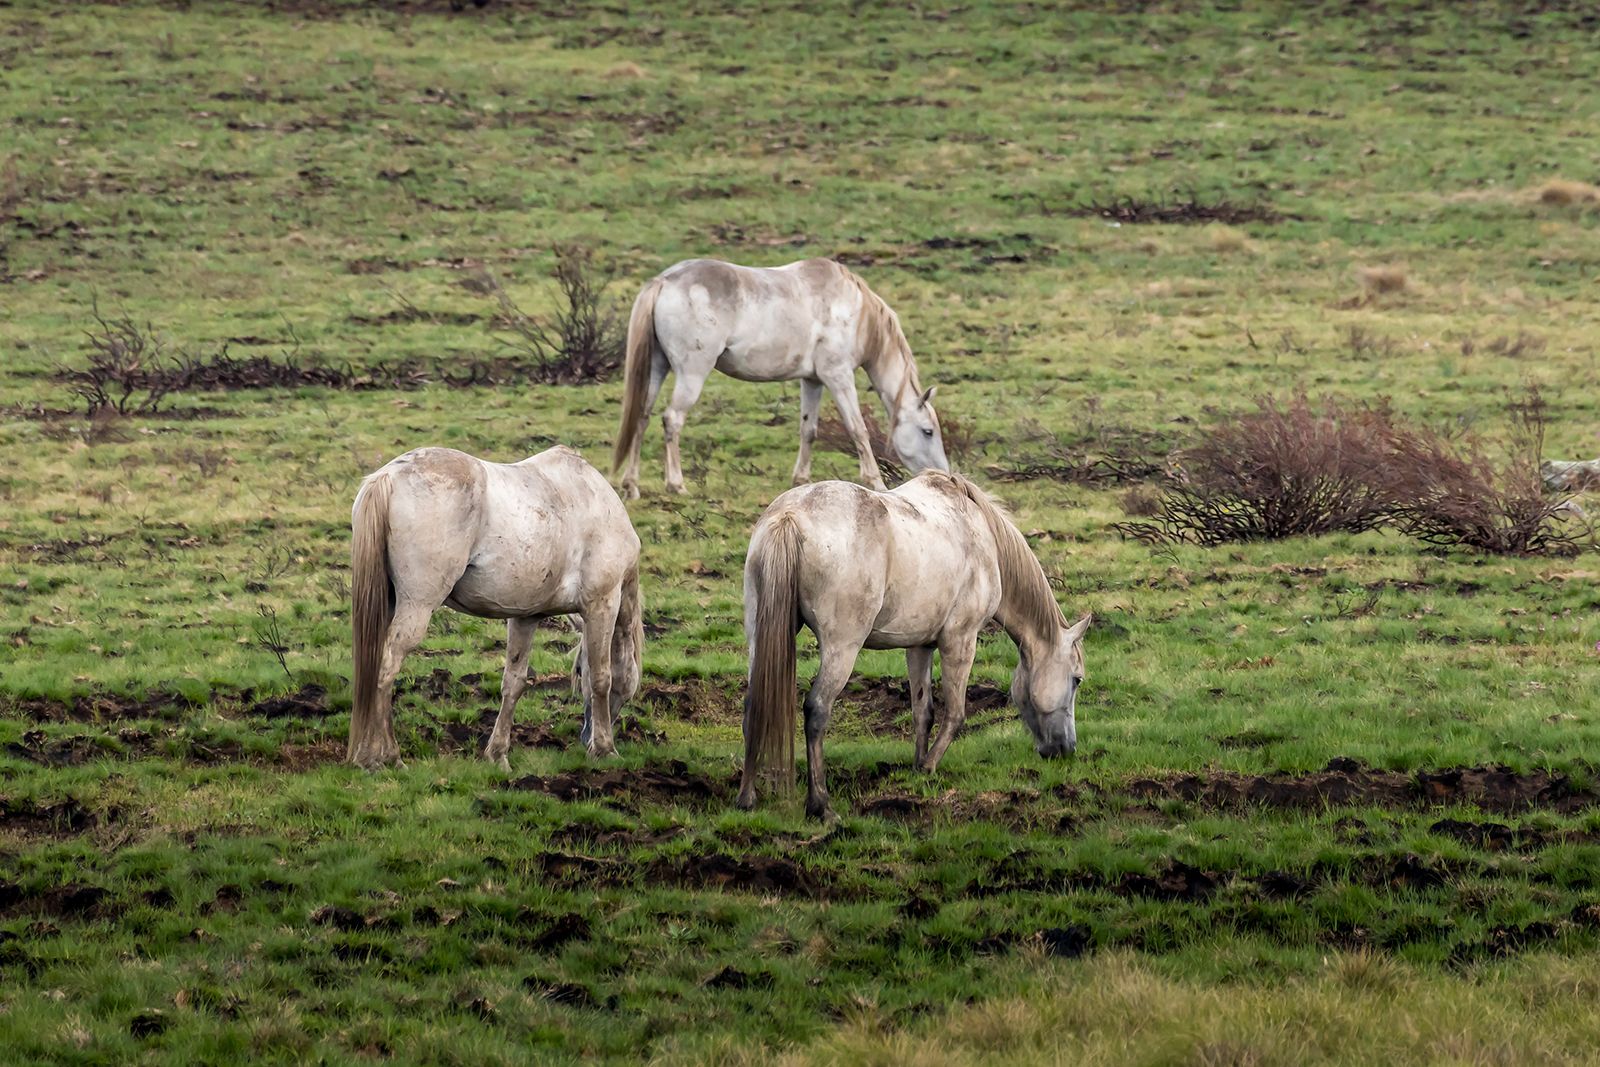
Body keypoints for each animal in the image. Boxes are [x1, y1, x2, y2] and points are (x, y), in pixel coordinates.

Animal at [350, 447, 643, 771]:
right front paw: (605, 748)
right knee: (386, 668)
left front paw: (497, 754)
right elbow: (603, 676)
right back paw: (385, 756)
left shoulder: (526, 617)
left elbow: (513, 683)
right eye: (577, 672)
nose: (585, 735)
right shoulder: (602, 604)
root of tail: (388, 476)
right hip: (417, 607)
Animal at [604, 255, 940, 499]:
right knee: (672, 419)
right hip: (692, 373)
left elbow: (809, 430)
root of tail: (665, 281)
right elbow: (858, 429)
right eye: (928, 432)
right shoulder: (838, 376)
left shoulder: (813, 380)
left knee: (642, 417)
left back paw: (631, 485)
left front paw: (800, 479)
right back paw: (676, 484)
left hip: (657, 368)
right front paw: (876, 482)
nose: (941, 475)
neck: (855, 312)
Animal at [732, 473, 1088, 819]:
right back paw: (821, 805)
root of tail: (790, 515)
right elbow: (955, 713)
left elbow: (923, 711)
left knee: (753, 705)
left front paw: (917, 767)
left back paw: (747, 798)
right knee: (817, 709)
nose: (1067, 749)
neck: (982, 535)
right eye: (1076, 680)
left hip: (759, 636)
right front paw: (929, 765)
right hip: (841, 649)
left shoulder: (919, 646)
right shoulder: (961, 639)